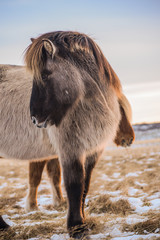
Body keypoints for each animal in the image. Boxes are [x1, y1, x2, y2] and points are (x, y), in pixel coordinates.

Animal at [0, 31, 135, 238]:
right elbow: (73, 184)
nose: (35, 119)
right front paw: (76, 228)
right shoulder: (70, 149)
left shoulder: (93, 151)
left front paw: (83, 221)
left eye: (44, 75)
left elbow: (85, 185)